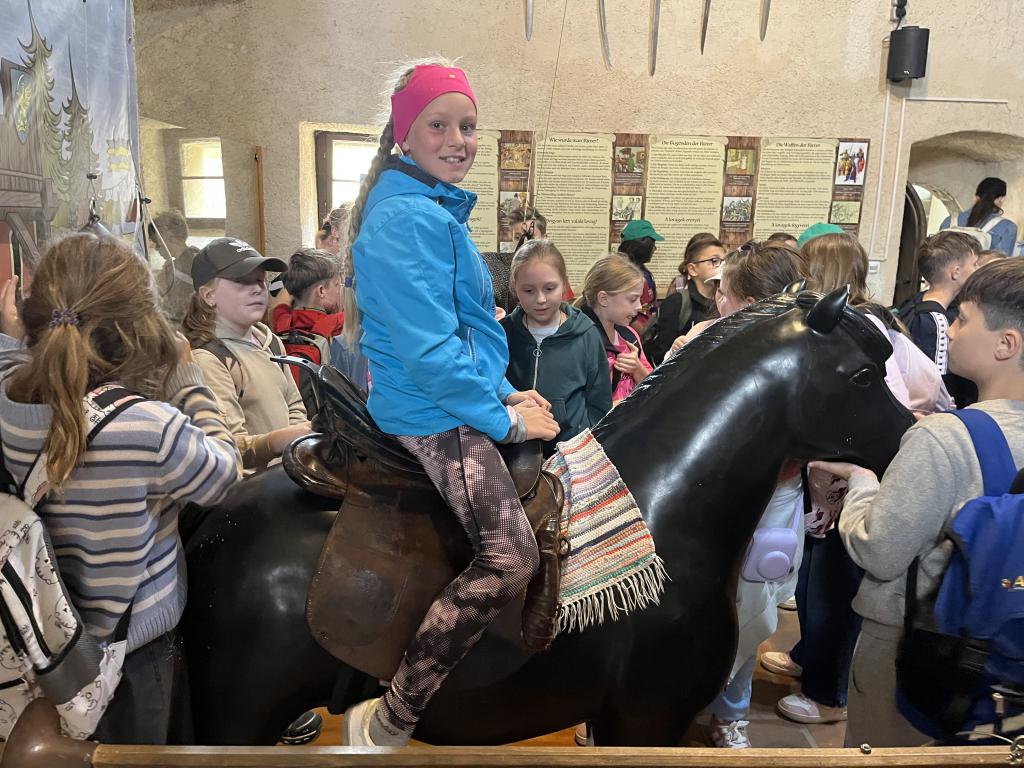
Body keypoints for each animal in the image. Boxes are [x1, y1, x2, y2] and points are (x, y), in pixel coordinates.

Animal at [180, 288, 914, 746]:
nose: (912, 437)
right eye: (861, 375)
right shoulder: (647, 718)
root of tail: (212, 522)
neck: (661, 513)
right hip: (238, 715)